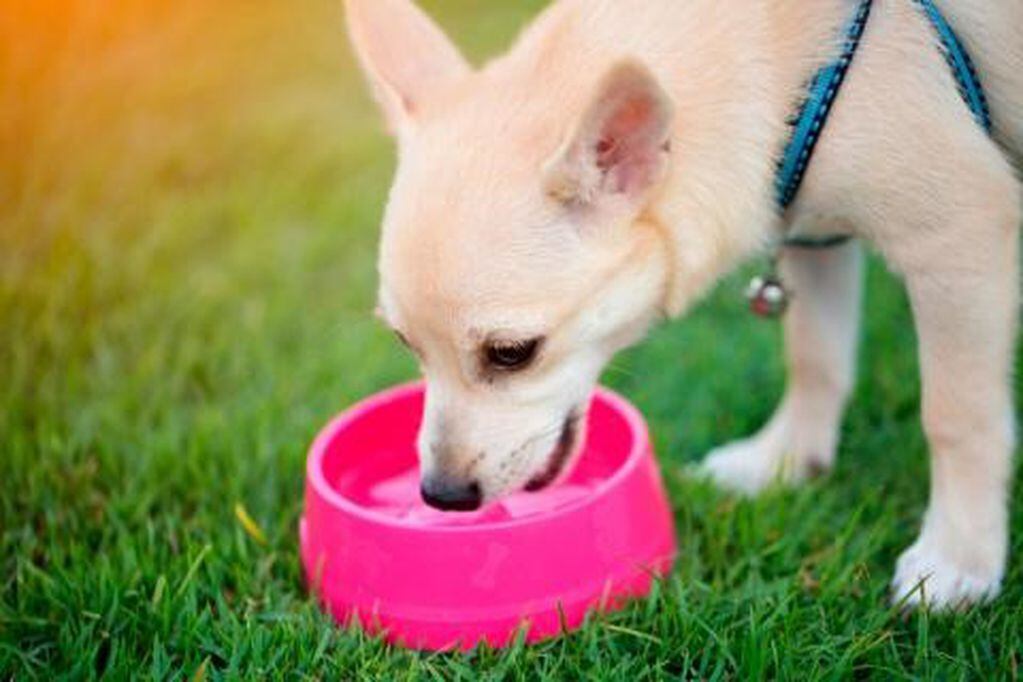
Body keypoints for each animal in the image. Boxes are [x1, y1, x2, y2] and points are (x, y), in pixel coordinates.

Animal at [343, 0, 1023, 609]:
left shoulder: (955, 240)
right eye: (406, 345)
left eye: (513, 353)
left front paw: (958, 561)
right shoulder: (816, 236)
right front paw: (784, 461)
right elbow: (815, 357)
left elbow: (956, 417)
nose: (441, 496)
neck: (774, 54)